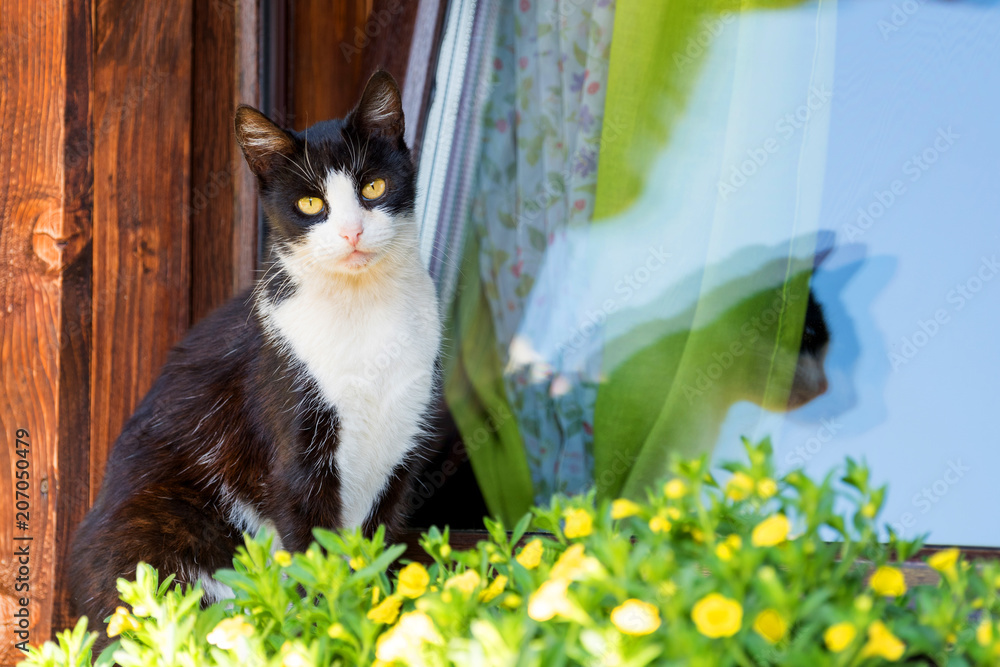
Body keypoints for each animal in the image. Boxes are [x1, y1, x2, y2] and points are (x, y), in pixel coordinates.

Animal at [68, 70, 440, 644]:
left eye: (373, 187)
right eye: (310, 204)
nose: (352, 232)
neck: (362, 312)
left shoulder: (401, 448)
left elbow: (377, 547)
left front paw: (376, 619)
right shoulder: (292, 448)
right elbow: (315, 553)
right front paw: (328, 626)